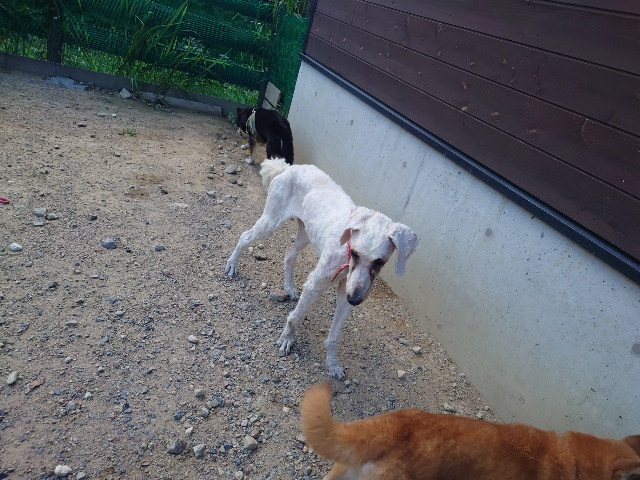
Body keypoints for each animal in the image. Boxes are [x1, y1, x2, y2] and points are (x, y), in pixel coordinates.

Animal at [225, 158, 418, 379]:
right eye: (355, 253)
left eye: (380, 262)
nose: (355, 300)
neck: (345, 253)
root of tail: (288, 168)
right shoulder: (315, 285)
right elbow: (296, 317)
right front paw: (287, 339)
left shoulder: (346, 292)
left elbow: (334, 336)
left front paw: (332, 363)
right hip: (271, 222)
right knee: (245, 237)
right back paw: (232, 265)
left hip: (306, 233)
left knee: (289, 256)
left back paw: (289, 286)